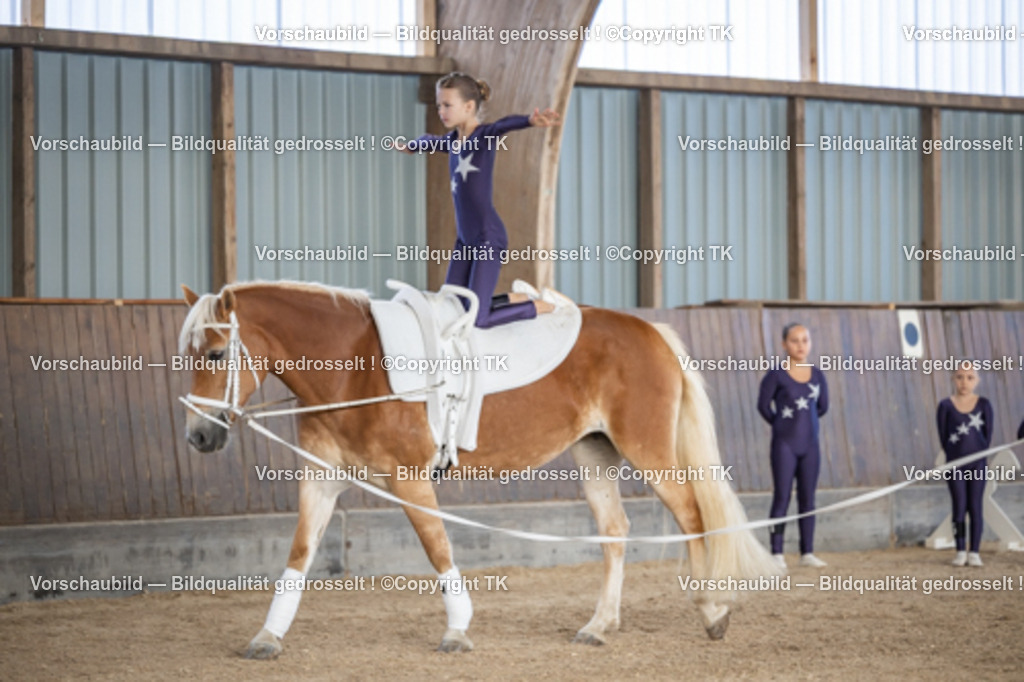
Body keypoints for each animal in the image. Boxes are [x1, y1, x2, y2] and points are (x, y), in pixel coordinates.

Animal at [178, 280, 779, 658]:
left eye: (214, 355)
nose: (198, 437)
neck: (352, 363)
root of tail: (649, 330)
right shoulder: (322, 477)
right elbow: (300, 553)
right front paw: (267, 636)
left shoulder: (408, 478)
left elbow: (437, 547)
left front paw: (458, 631)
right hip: (595, 451)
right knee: (615, 531)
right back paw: (598, 626)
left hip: (646, 449)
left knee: (692, 517)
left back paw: (712, 612)